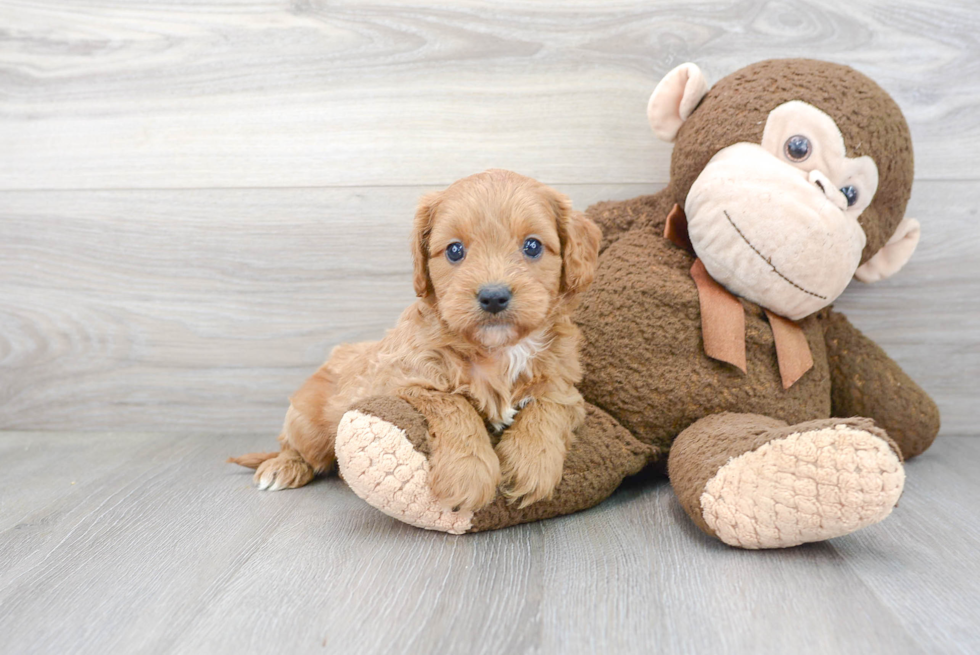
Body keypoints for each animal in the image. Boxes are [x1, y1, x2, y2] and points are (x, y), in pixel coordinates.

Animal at [234, 169, 600, 512]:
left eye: (533, 246)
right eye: (455, 250)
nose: (493, 297)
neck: (498, 351)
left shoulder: (564, 386)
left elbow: (546, 407)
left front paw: (532, 463)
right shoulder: (406, 379)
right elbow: (455, 405)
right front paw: (467, 475)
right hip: (307, 422)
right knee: (296, 447)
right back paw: (281, 467)